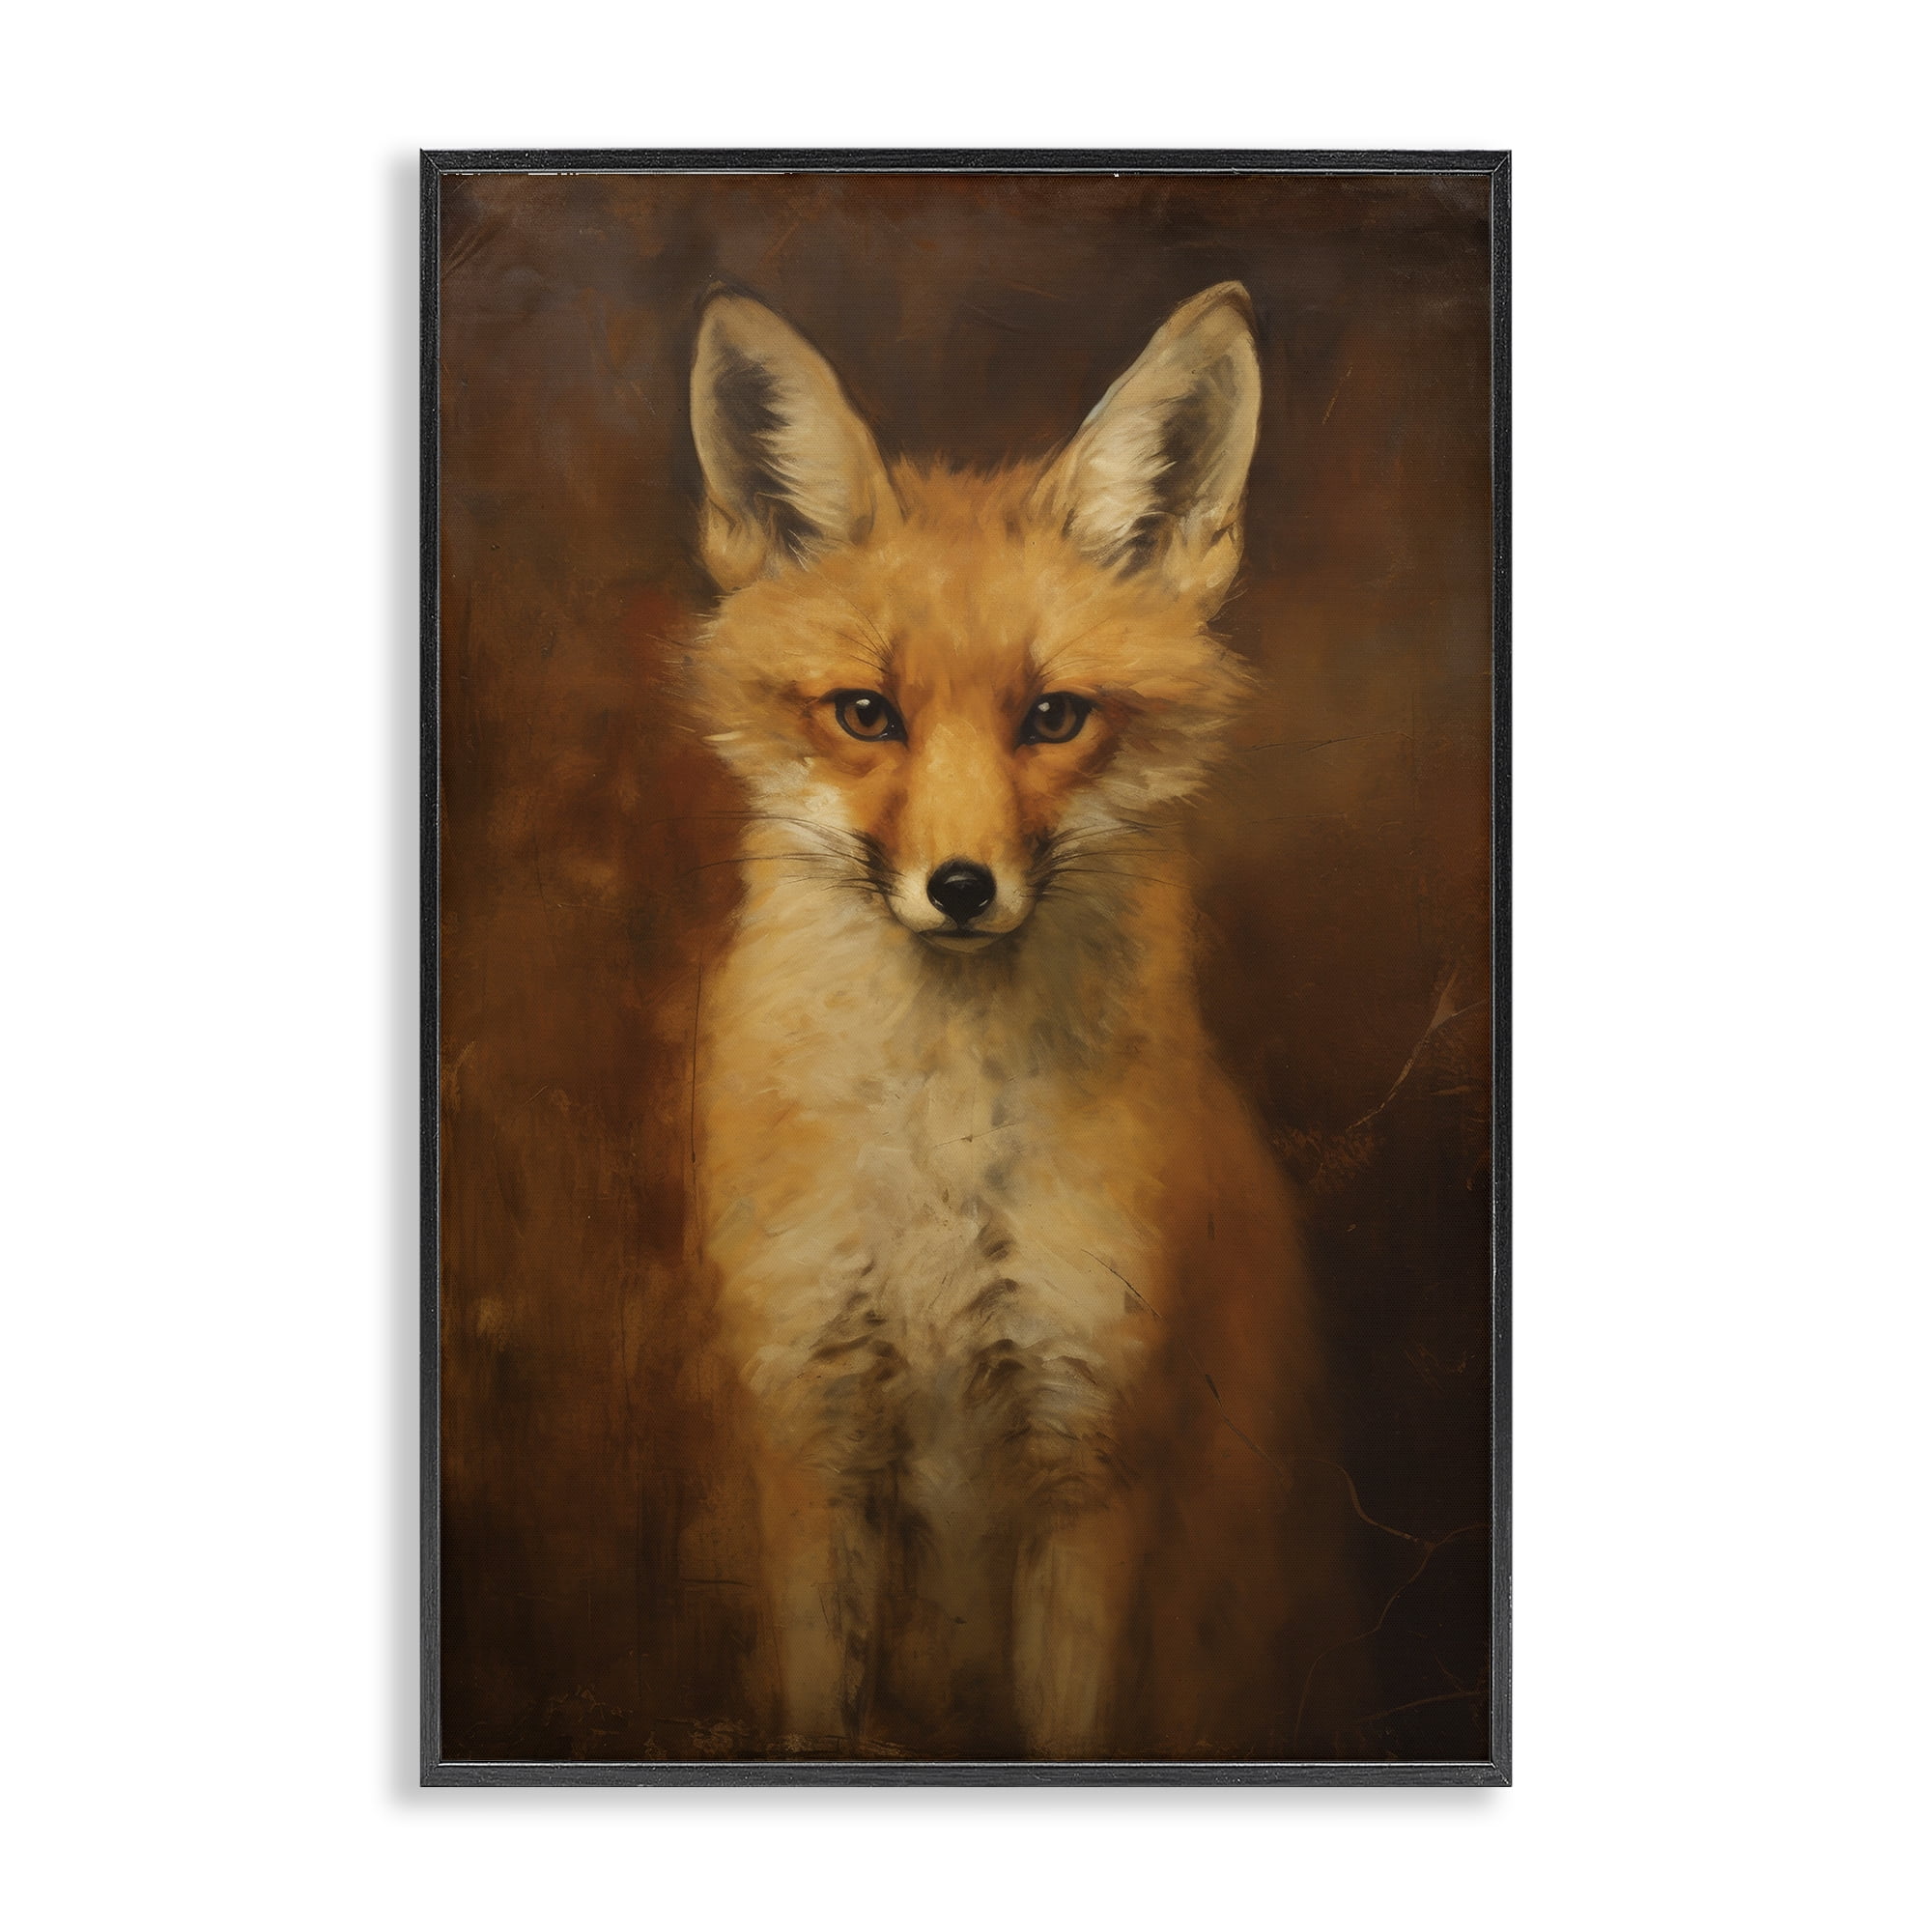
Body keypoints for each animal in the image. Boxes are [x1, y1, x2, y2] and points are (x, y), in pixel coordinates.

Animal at [682, 283, 1334, 1760]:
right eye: (867, 712)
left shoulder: (1092, 1457)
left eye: (1054, 717)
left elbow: (1070, 1725)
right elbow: (817, 1720)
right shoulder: (813, 1435)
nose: (963, 888)